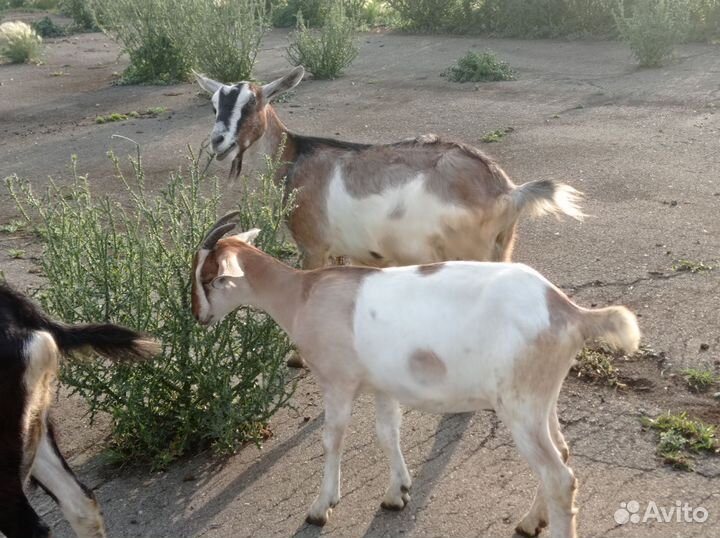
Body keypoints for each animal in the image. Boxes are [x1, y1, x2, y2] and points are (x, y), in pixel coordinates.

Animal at [191, 213, 641, 538]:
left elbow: (332, 439)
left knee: (559, 477)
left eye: (209, 278)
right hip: (542, 401)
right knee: (562, 454)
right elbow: (388, 432)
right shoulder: (382, 385)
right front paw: (397, 493)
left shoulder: (337, 381)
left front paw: (321, 508)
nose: (198, 316)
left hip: (520, 406)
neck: (303, 294)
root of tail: (569, 311)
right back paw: (531, 522)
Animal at [194, 67, 584, 270]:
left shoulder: (313, 248)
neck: (294, 157)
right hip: (501, 250)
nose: (219, 142)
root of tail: (508, 191)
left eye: (253, 104)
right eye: (214, 105)